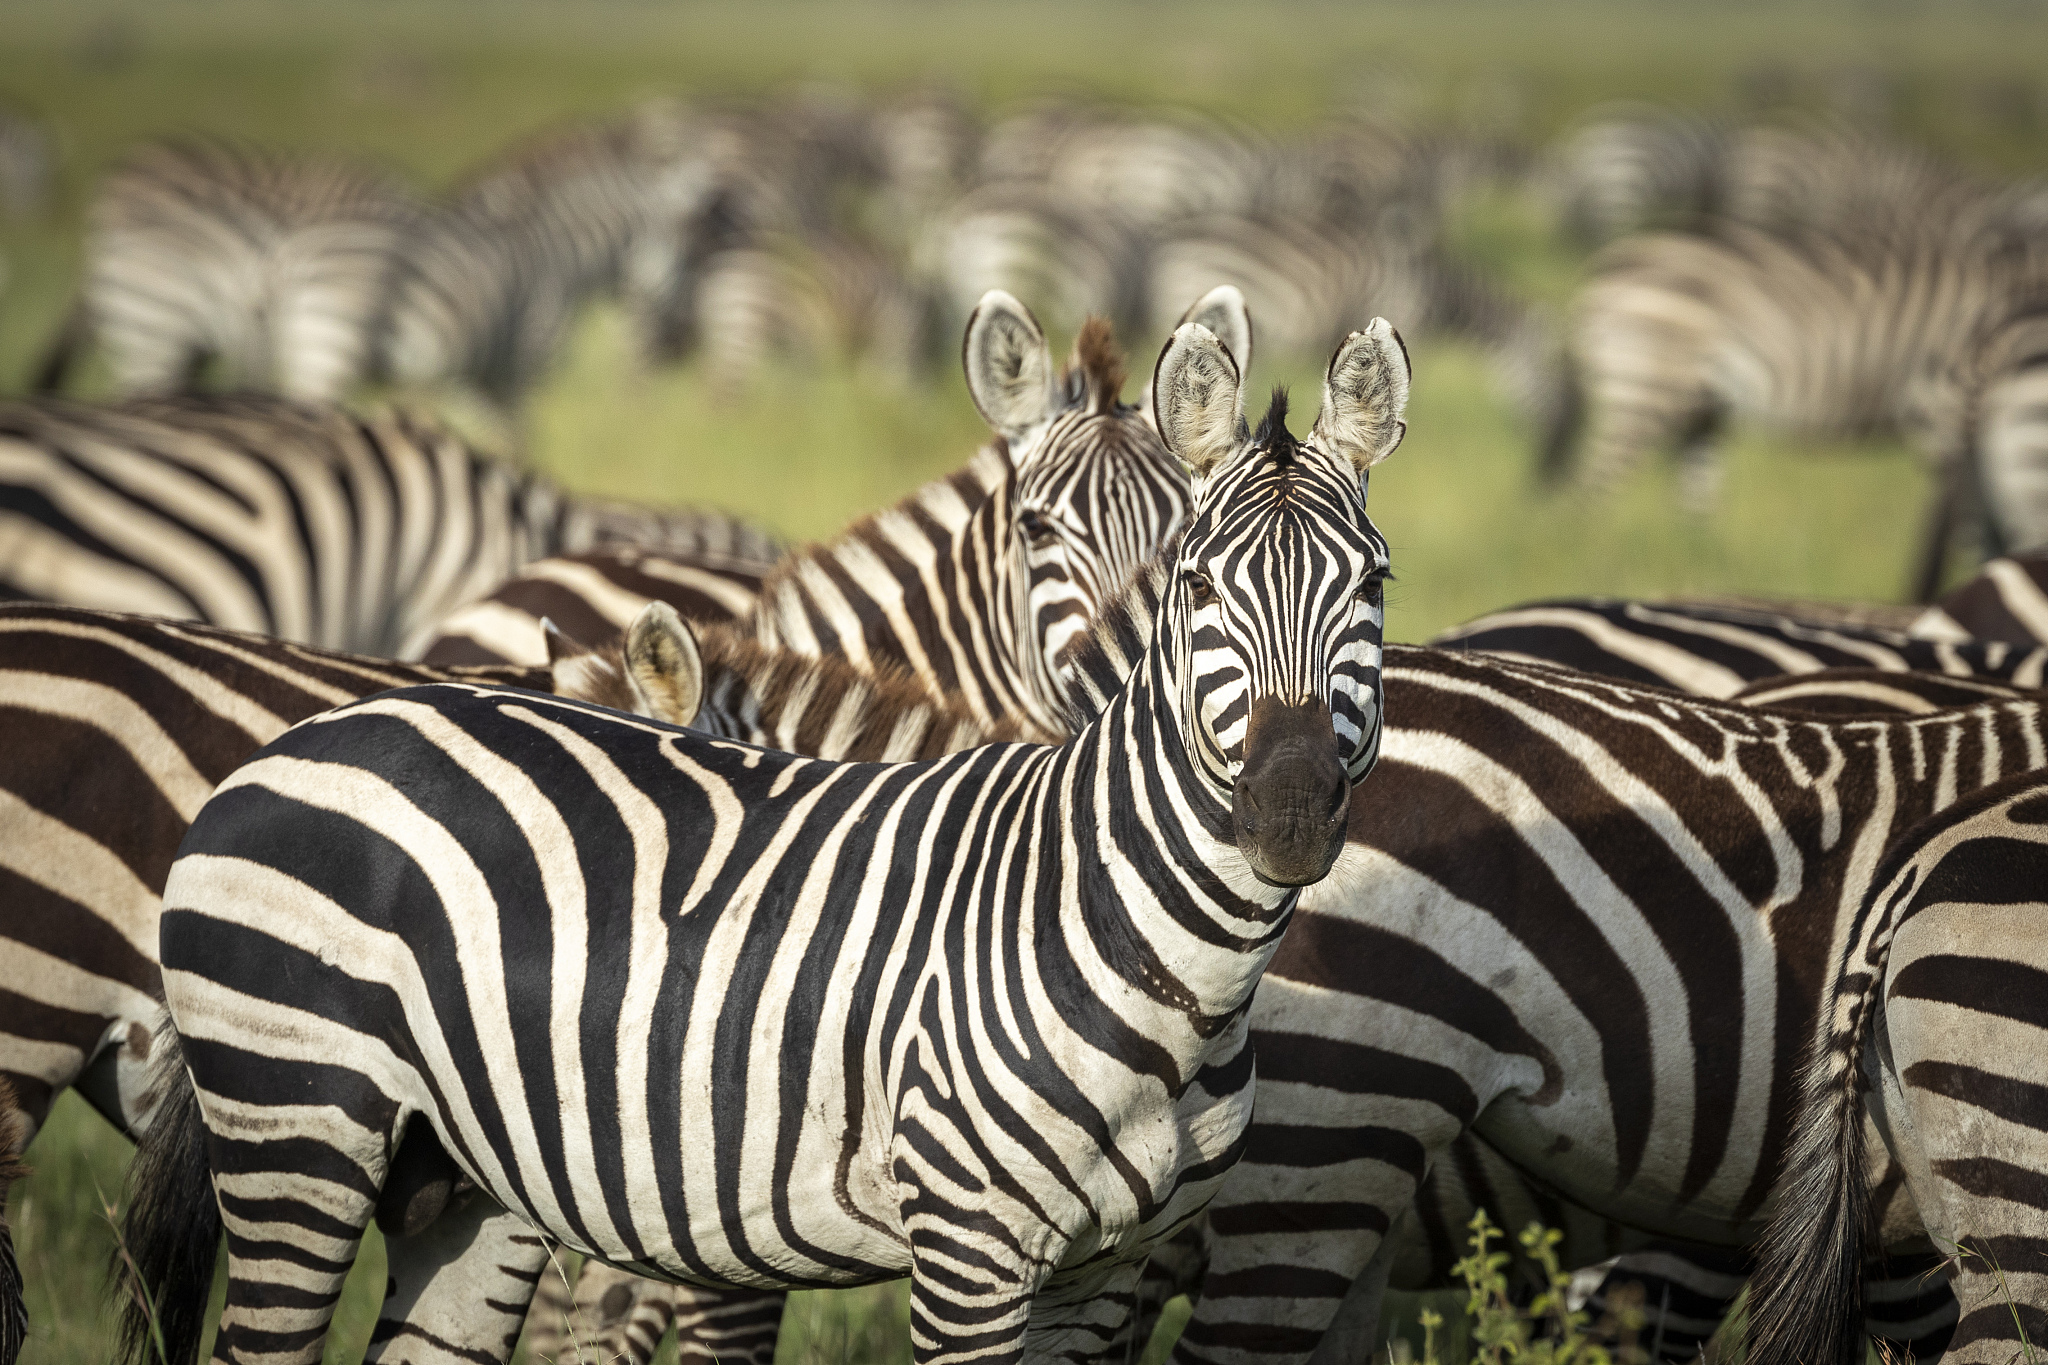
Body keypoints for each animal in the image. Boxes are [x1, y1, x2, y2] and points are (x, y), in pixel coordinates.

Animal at [119, 317, 1409, 1365]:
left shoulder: (1107, 1275)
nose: (1288, 812)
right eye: (1198, 588)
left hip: (460, 1180)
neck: (1154, 963)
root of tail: (317, 728)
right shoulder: (961, 1252)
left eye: (1373, 588)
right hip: (295, 1124)